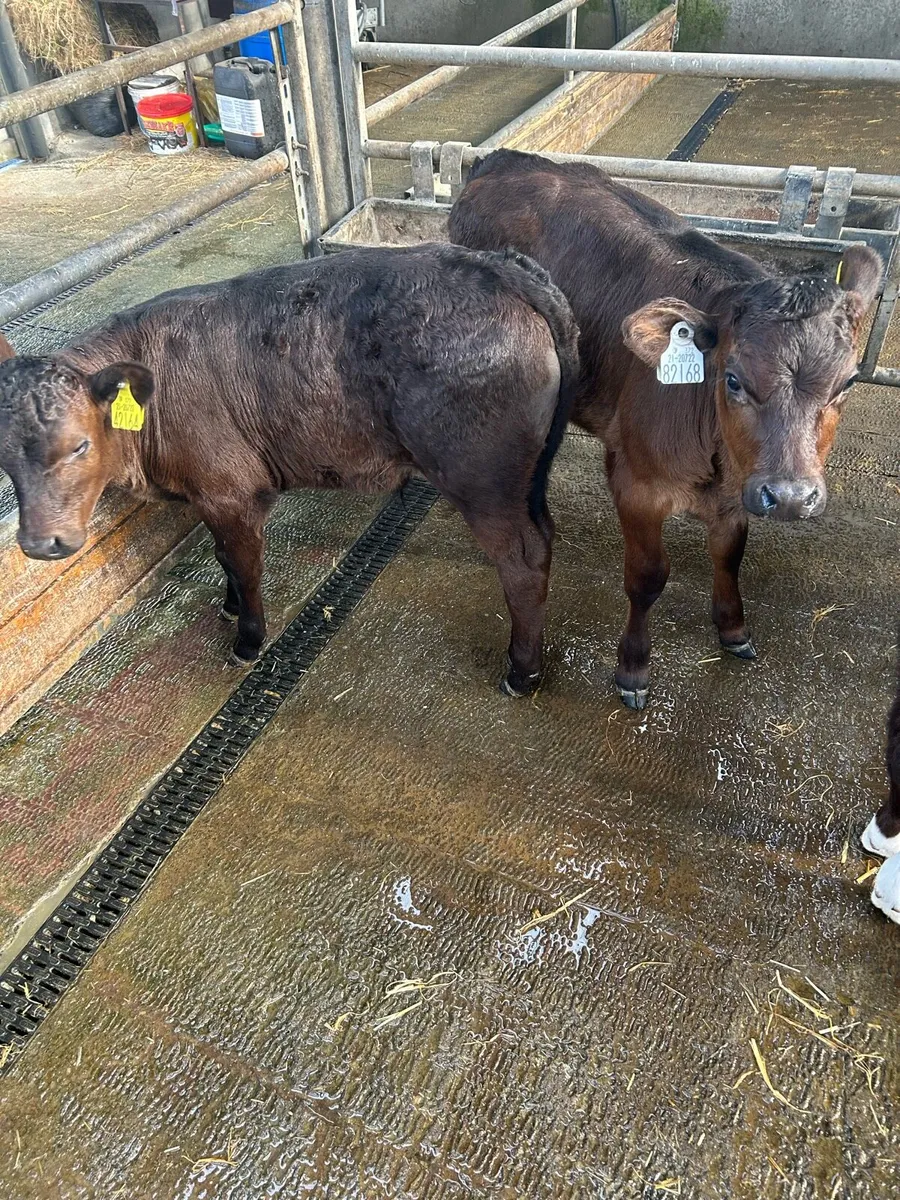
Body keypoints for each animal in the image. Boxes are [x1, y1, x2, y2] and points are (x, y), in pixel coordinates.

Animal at [0, 244, 578, 696]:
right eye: (3, 458)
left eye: (79, 446)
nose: (40, 543)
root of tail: (498, 265)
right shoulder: (210, 496)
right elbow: (223, 558)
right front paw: (229, 606)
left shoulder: (230, 492)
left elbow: (245, 564)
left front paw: (248, 638)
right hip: (525, 476)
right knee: (544, 536)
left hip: (482, 478)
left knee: (522, 557)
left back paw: (522, 672)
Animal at [449, 149, 882, 708]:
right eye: (733, 379)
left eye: (847, 381)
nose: (789, 496)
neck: (714, 463)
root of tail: (501, 159)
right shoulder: (636, 484)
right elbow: (647, 578)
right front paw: (632, 669)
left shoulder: (737, 490)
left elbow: (729, 556)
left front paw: (733, 630)